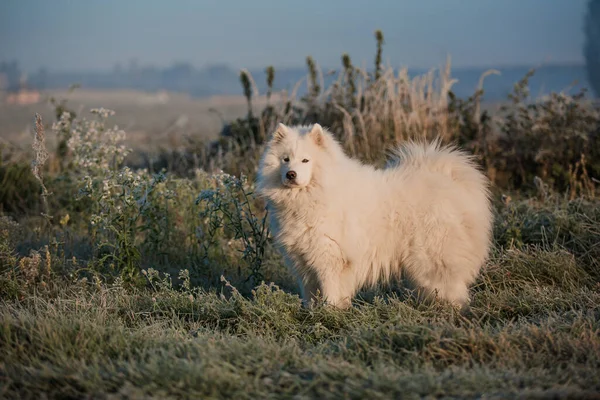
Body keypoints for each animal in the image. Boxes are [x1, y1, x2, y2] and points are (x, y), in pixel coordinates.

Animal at [255, 123, 494, 308]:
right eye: (285, 159)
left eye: (306, 160)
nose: (290, 174)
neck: (313, 195)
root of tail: (450, 179)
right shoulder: (303, 260)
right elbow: (310, 294)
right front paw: (312, 313)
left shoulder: (329, 259)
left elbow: (330, 292)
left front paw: (329, 313)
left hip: (432, 256)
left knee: (450, 286)